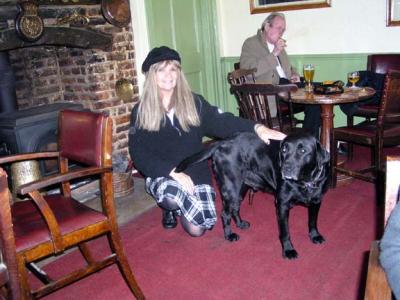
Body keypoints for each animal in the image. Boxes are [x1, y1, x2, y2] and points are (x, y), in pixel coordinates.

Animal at [177, 132, 330, 258]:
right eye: (284, 150)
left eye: (303, 151)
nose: (285, 168)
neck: (305, 182)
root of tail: (222, 142)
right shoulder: (282, 205)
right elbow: (285, 232)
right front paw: (288, 250)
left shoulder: (317, 202)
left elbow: (312, 222)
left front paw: (315, 236)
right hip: (232, 188)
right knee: (225, 214)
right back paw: (229, 235)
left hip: (240, 189)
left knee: (234, 209)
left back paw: (240, 224)